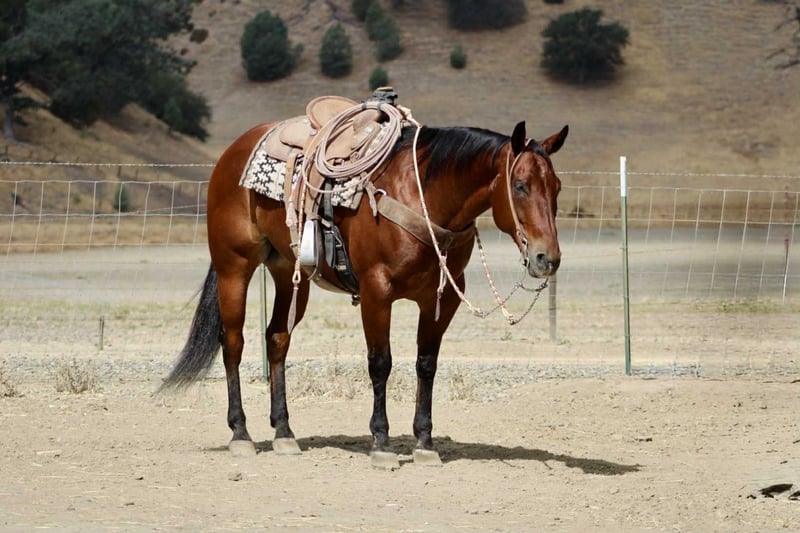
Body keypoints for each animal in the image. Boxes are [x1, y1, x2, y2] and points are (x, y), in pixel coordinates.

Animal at [159, 116, 568, 468]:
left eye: (557, 187)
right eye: (520, 185)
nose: (547, 258)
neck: (423, 196)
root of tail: (233, 152)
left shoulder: (442, 299)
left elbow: (426, 364)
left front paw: (424, 442)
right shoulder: (376, 292)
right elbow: (380, 363)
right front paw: (382, 443)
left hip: (288, 273)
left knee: (276, 339)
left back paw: (284, 433)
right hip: (234, 267)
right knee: (232, 343)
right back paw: (241, 433)